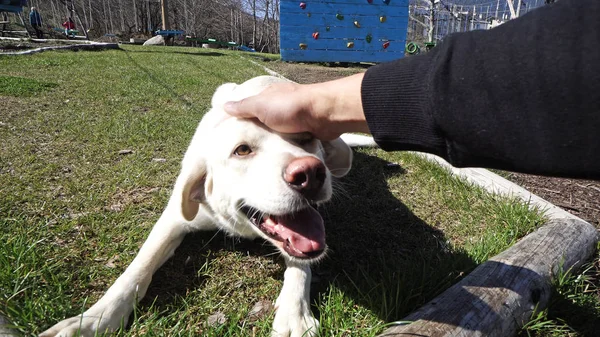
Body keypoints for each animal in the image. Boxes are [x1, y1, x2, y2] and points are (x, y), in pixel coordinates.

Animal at [43, 76, 360, 336]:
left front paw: (295, 314)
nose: (311, 174)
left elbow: (300, 266)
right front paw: (94, 319)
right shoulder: (175, 217)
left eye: (305, 138)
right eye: (242, 150)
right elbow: (138, 268)